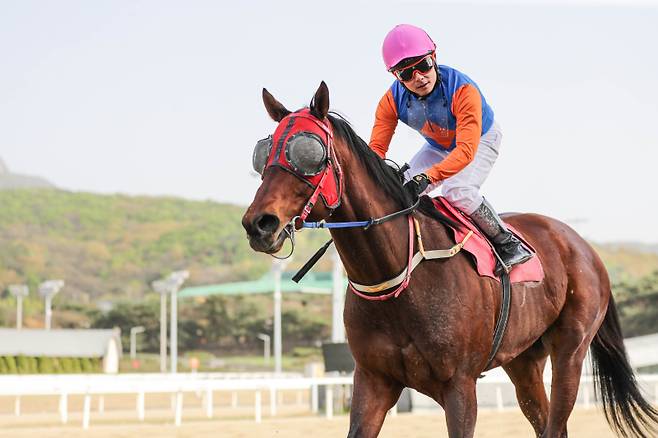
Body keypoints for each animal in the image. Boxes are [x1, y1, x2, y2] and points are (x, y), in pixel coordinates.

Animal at [242, 80, 656, 436]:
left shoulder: (460, 386)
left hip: (570, 351)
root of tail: (582, 245)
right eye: (264, 154)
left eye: (309, 152)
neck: (400, 276)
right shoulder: (373, 381)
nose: (258, 224)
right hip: (523, 359)